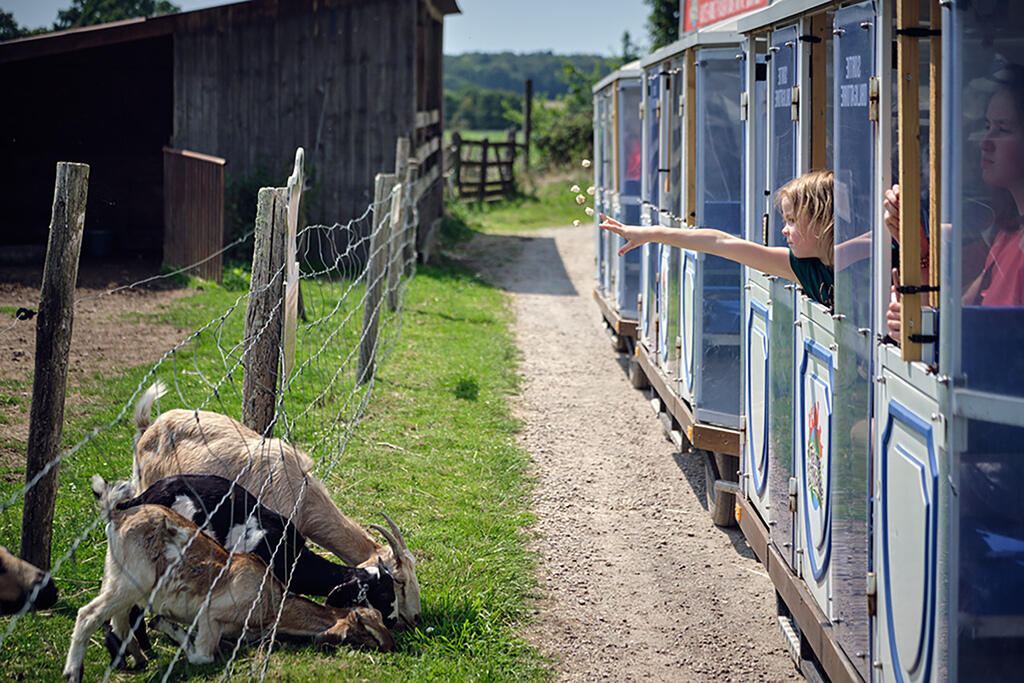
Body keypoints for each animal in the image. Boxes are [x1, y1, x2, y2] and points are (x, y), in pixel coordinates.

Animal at [61, 475, 393, 683]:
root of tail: (128, 505)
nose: (398, 626)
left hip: (124, 575)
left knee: (118, 614)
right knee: (100, 612)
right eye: (382, 593)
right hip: (136, 578)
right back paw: (90, 665)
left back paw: (133, 654)